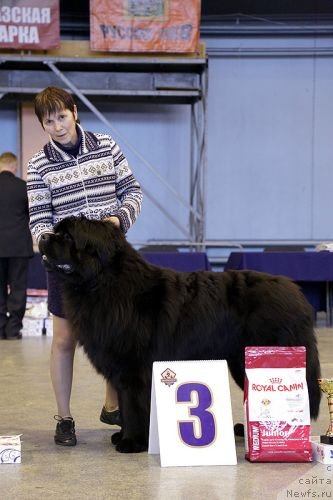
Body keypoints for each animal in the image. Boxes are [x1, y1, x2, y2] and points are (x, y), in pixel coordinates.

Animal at [38, 217, 320, 452]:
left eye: (67, 237)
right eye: (56, 231)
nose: (43, 237)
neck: (106, 282)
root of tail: (295, 293)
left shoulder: (133, 368)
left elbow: (132, 405)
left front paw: (132, 442)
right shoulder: (120, 367)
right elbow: (126, 406)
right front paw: (124, 436)